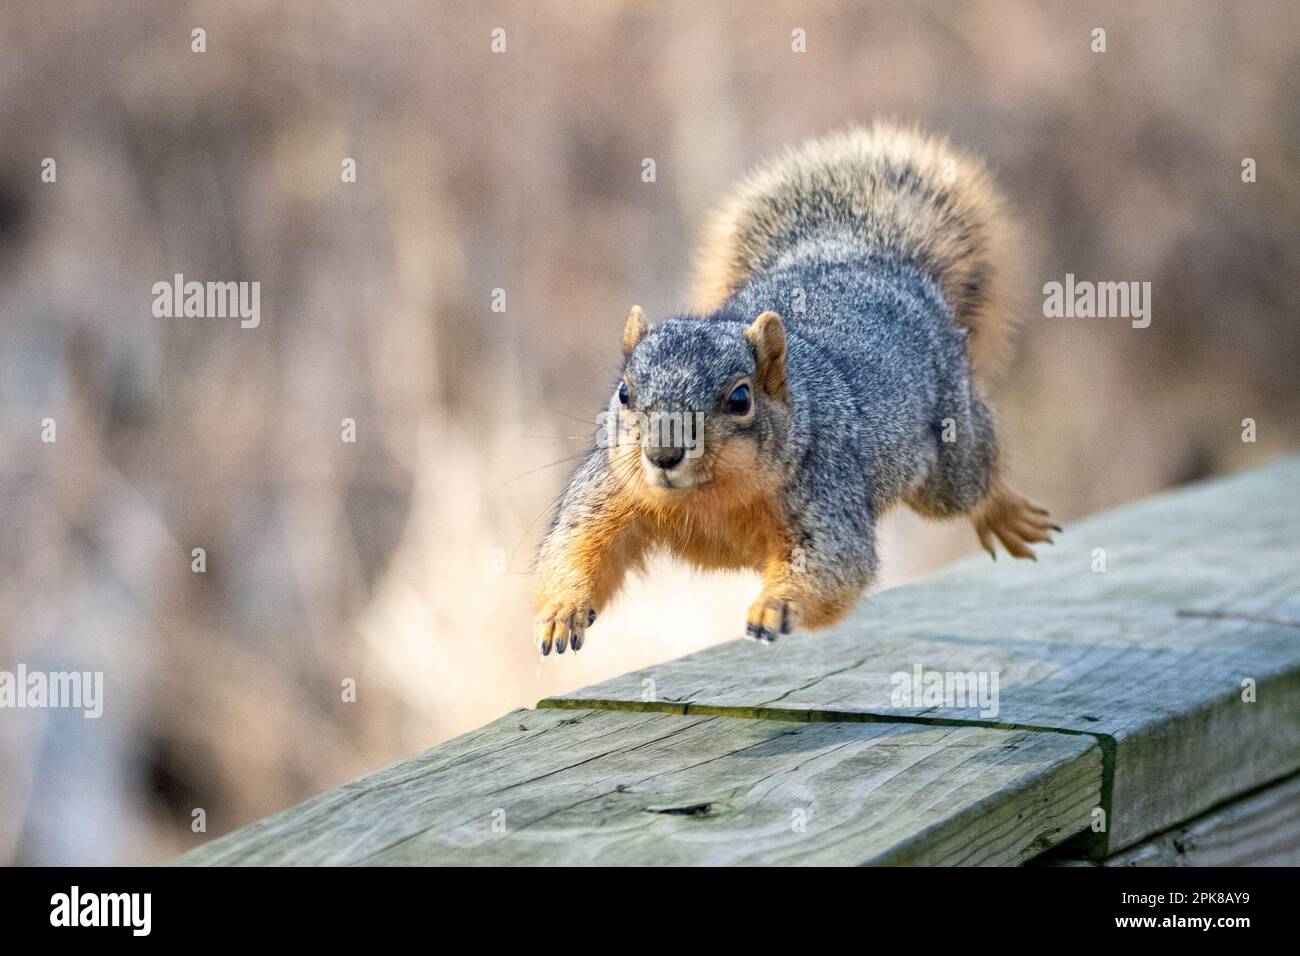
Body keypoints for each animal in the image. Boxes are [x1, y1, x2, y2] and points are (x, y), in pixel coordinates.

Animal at [533, 121, 1057, 654]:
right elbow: (575, 543)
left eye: (740, 399)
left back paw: (1006, 512)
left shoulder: (825, 491)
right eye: (624, 392)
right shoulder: (610, 489)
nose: (663, 455)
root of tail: (866, 260)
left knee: (974, 480)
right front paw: (562, 609)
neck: (708, 498)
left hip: (951, 450)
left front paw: (776, 606)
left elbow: (835, 564)